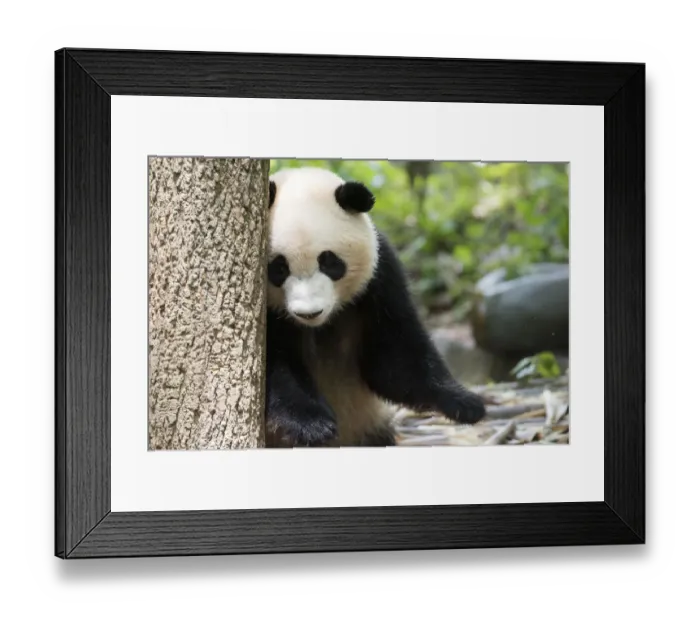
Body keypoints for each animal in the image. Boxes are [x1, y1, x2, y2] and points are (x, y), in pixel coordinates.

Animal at [264, 166, 486, 448]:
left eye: (329, 262)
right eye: (279, 268)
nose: (309, 312)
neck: (319, 326)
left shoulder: (378, 279)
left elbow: (394, 359)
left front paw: (465, 403)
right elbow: (275, 367)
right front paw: (312, 425)